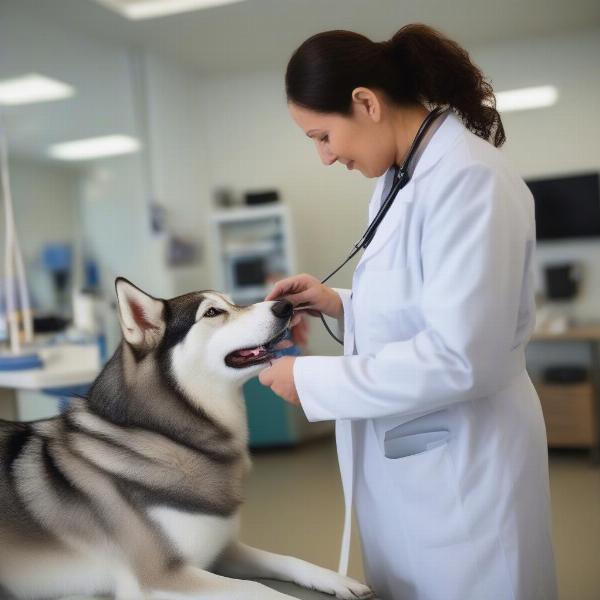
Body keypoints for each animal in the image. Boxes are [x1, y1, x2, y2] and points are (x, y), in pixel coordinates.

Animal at [0, 280, 372, 600]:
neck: (164, 437)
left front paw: (337, 580)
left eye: (233, 302)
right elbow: (262, 591)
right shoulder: (162, 577)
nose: (285, 305)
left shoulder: (223, 551)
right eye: (212, 312)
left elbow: (288, 560)